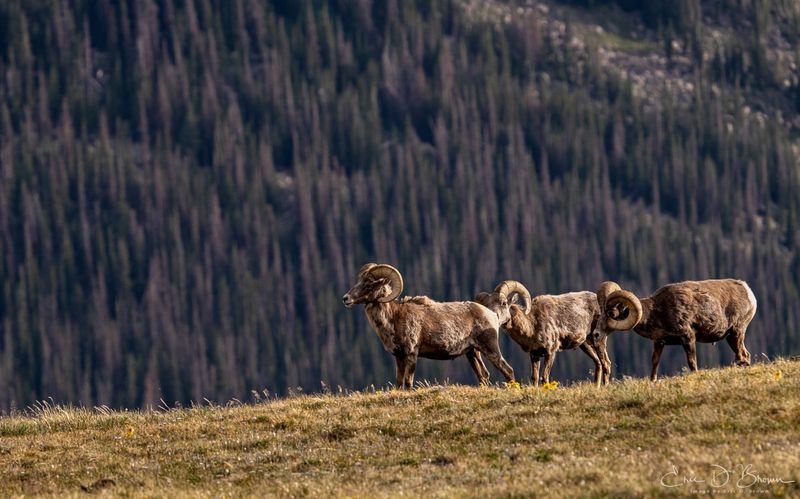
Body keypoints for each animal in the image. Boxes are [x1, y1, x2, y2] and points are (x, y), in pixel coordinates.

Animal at [340, 264, 516, 388]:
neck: (392, 319)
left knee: (507, 370)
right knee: (483, 375)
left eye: (368, 285)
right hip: (472, 353)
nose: (346, 298)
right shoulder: (399, 357)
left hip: (490, 348)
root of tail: (492, 315)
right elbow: (399, 383)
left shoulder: (411, 355)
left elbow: (408, 383)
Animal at [476, 282, 612, 386]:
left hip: (598, 340)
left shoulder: (551, 352)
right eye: (487, 305)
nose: (493, 316)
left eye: (504, 303)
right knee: (598, 363)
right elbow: (535, 378)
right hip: (585, 344)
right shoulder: (534, 355)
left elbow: (544, 378)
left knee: (606, 364)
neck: (532, 325)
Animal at [592, 280, 756, 380]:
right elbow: (654, 363)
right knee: (744, 355)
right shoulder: (659, 343)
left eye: (612, 313)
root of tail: (748, 292)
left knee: (743, 355)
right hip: (730, 337)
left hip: (736, 333)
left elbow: (692, 363)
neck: (656, 312)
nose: (595, 334)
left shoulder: (688, 338)